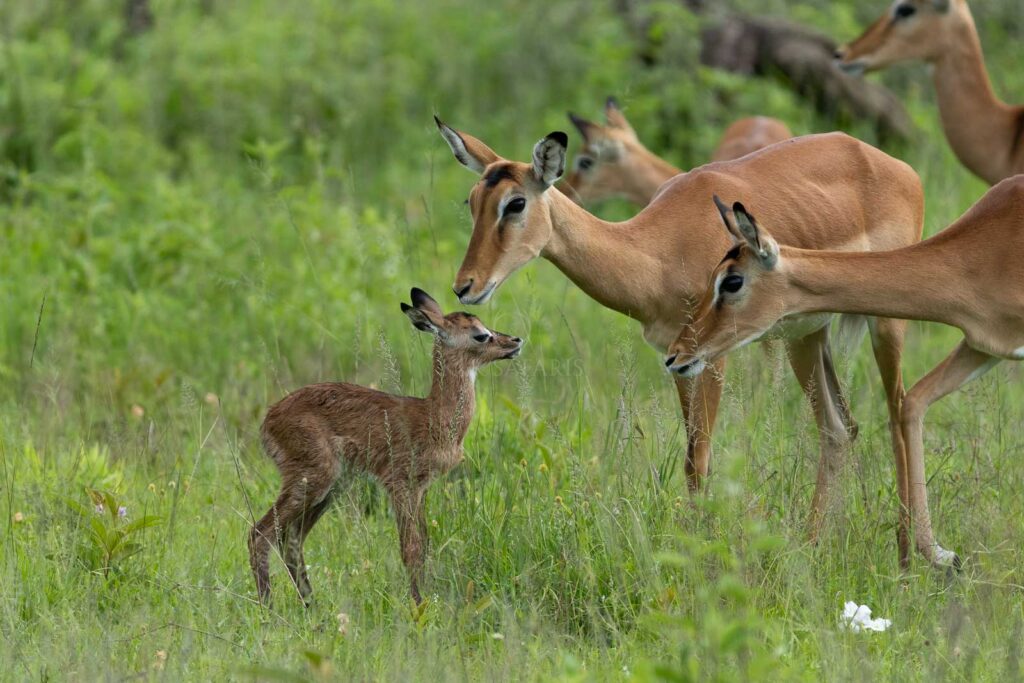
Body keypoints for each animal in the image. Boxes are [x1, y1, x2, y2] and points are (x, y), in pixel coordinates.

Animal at [249, 288, 523, 605]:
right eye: (480, 334)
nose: (515, 342)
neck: (435, 417)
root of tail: (268, 421)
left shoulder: (421, 489)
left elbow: (424, 545)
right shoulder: (399, 483)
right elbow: (411, 550)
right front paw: (419, 605)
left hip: (330, 488)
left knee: (291, 540)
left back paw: (311, 607)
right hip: (312, 478)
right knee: (260, 534)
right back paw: (269, 609)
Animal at [436, 117, 925, 564]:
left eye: (515, 203)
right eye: (472, 200)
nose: (465, 286)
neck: (656, 252)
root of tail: (895, 166)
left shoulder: (712, 358)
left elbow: (700, 457)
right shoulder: (676, 358)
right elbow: (692, 459)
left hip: (885, 324)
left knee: (898, 414)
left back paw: (909, 553)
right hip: (804, 336)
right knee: (839, 429)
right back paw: (812, 545)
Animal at [665, 177, 1024, 569]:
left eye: (732, 282)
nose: (675, 355)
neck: (982, 253)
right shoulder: (983, 345)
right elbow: (913, 402)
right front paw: (943, 556)